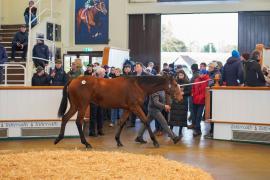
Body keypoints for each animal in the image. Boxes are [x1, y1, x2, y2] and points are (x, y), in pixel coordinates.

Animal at [53, 75, 182, 148]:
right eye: (175, 85)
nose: (181, 97)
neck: (138, 85)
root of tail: (73, 80)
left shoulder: (128, 109)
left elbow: (121, 122)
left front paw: (118, 141)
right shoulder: (135, 107)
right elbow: (145, 121)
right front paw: (155, 142)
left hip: (75, 106)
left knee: (65, 118)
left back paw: (58, 138)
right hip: (83, 105)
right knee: (78, 122)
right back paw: (86, 143)